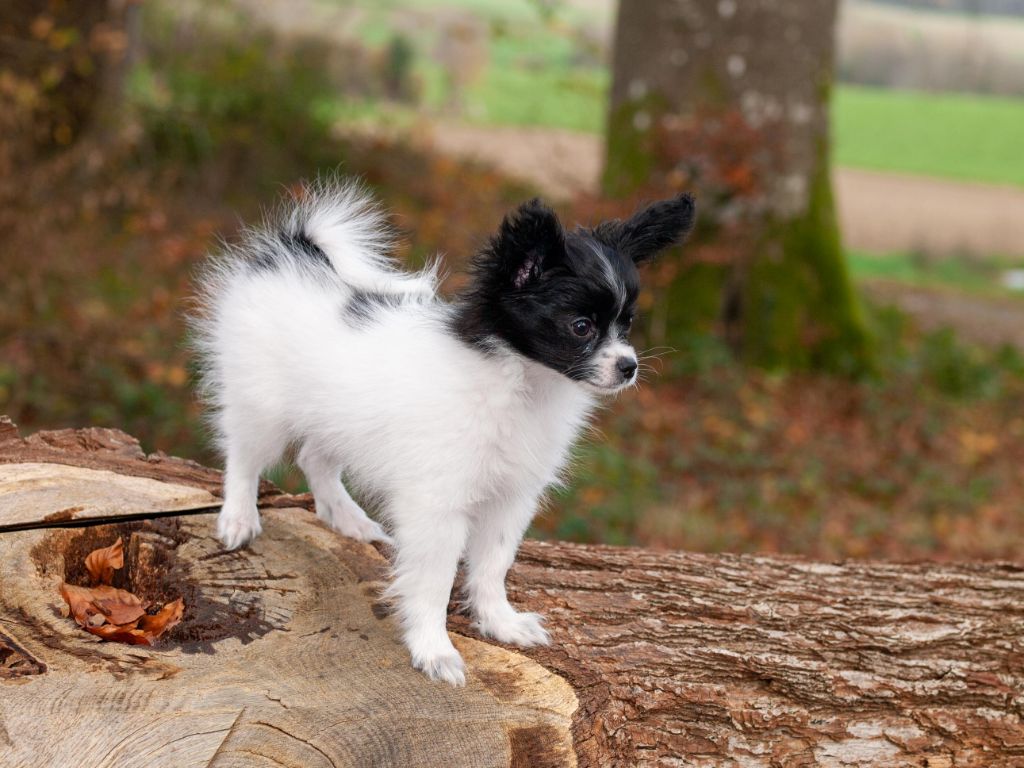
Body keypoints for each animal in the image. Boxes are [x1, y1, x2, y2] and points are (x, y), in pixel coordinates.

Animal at [193, 179, 696, 684]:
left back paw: (349, 519)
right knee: (244, 456)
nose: (629, 367)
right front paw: (433, 649)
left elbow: (493, 565)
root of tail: (293, 250)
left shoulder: (512, 497)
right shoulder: (438, 505)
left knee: (314, 459)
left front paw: (499, 622)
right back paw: (239, 518)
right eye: (581, 327)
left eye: (627, 324)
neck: (521, 385)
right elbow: (435, 580)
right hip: (263, 405)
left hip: (336, 418)